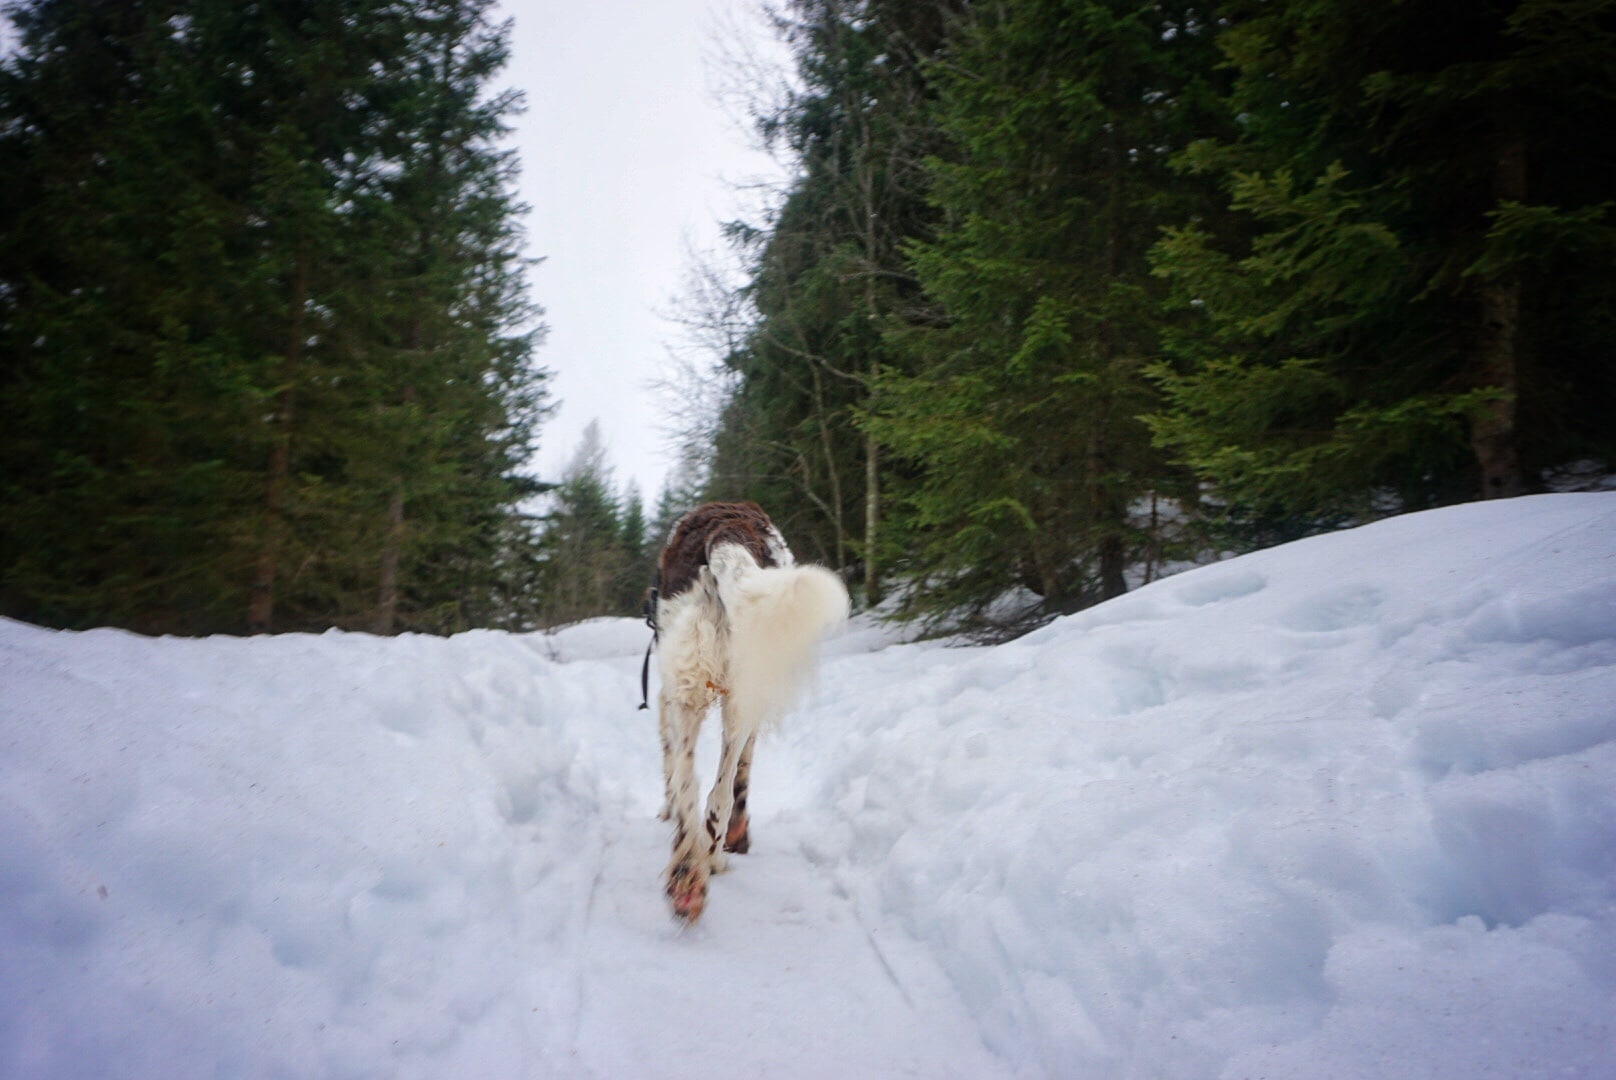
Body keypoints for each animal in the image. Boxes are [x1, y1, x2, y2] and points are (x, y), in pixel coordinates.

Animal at [646, 504, 846, 918]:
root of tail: (727, 529)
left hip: (692, 692)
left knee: (696, 788)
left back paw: (694, 869)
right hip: (738, 687)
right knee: (714, 795)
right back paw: (698, 869)